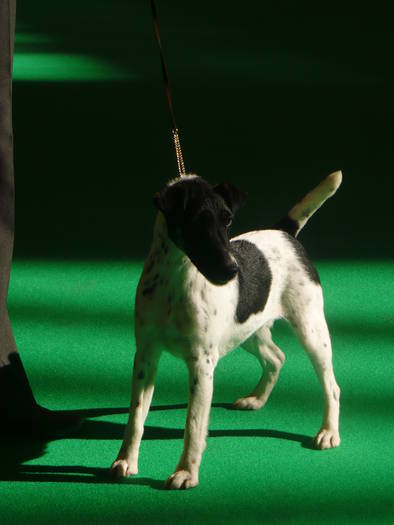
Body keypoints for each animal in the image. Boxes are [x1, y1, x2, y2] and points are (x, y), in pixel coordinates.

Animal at [110, 170, 342, 490]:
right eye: (196, 221)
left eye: (228, 220)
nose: (233, 270)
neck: (174, 283)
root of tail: (282, 232)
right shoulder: (146, 356)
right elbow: (135, 418)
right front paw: (125, 461)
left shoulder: (202, 364)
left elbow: (194, 424)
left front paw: (186, 472)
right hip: (247, 331)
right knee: (276, 356)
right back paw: (257, 399)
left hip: (311, 330)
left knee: (331, 386)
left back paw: (328, 433)